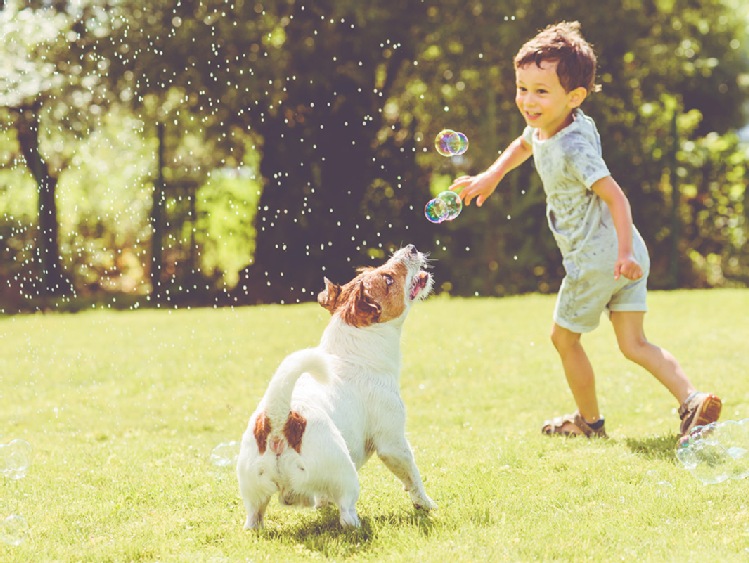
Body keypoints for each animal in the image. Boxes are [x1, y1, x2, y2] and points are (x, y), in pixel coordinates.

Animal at [237, 246, 436, 528]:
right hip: (346, 476)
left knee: (254, 517)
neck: (351, 352)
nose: (411, 248)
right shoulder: (393, 442)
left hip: (253, 490)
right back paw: (357, 525)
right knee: (347, 514)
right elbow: (412, 476)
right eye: (388, 279)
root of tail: (280, 420)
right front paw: (425, 503)